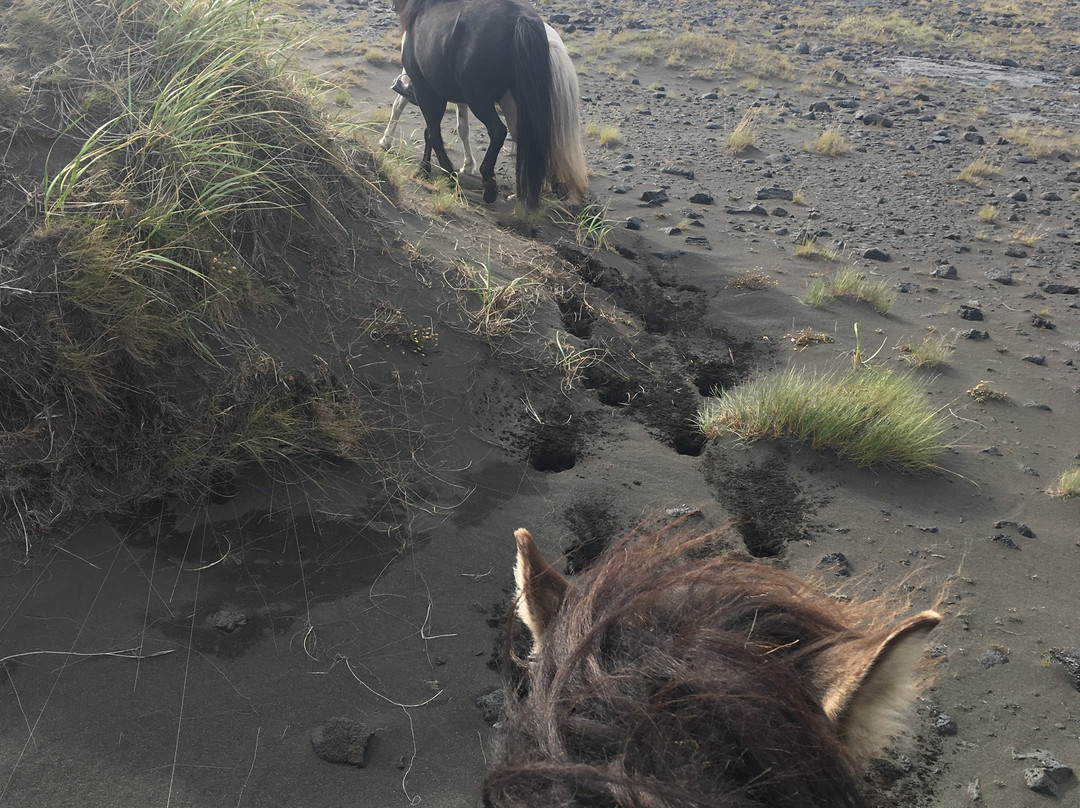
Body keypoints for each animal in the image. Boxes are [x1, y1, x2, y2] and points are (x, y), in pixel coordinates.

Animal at [392, 0, 587, 208]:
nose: (401, 86)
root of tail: (521, 19)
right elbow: (434, 131)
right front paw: (429, 169)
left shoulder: (426, 90)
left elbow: (433, 133)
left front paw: (442, 173)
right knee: (529, 139)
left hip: (479, 99)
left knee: (498, 131)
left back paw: (490, 187)